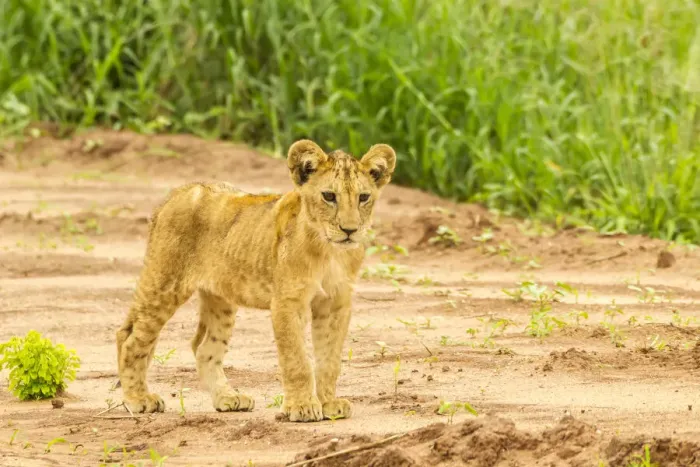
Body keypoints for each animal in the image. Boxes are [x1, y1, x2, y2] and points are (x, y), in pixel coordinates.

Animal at [115, 139, 396, 422]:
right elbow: (297, 359)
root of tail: (177, 193)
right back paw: (139, 399)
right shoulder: (287, 301)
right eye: (329, 196)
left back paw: (228, 398)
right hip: (165, 283)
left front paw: (328, 404)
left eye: (363, 197)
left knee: (204, 348)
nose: (350, 230)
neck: (330, 251)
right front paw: (302, 407)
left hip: (220, 298)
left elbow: (329, 359)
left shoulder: (335, 303)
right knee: (129, 337)